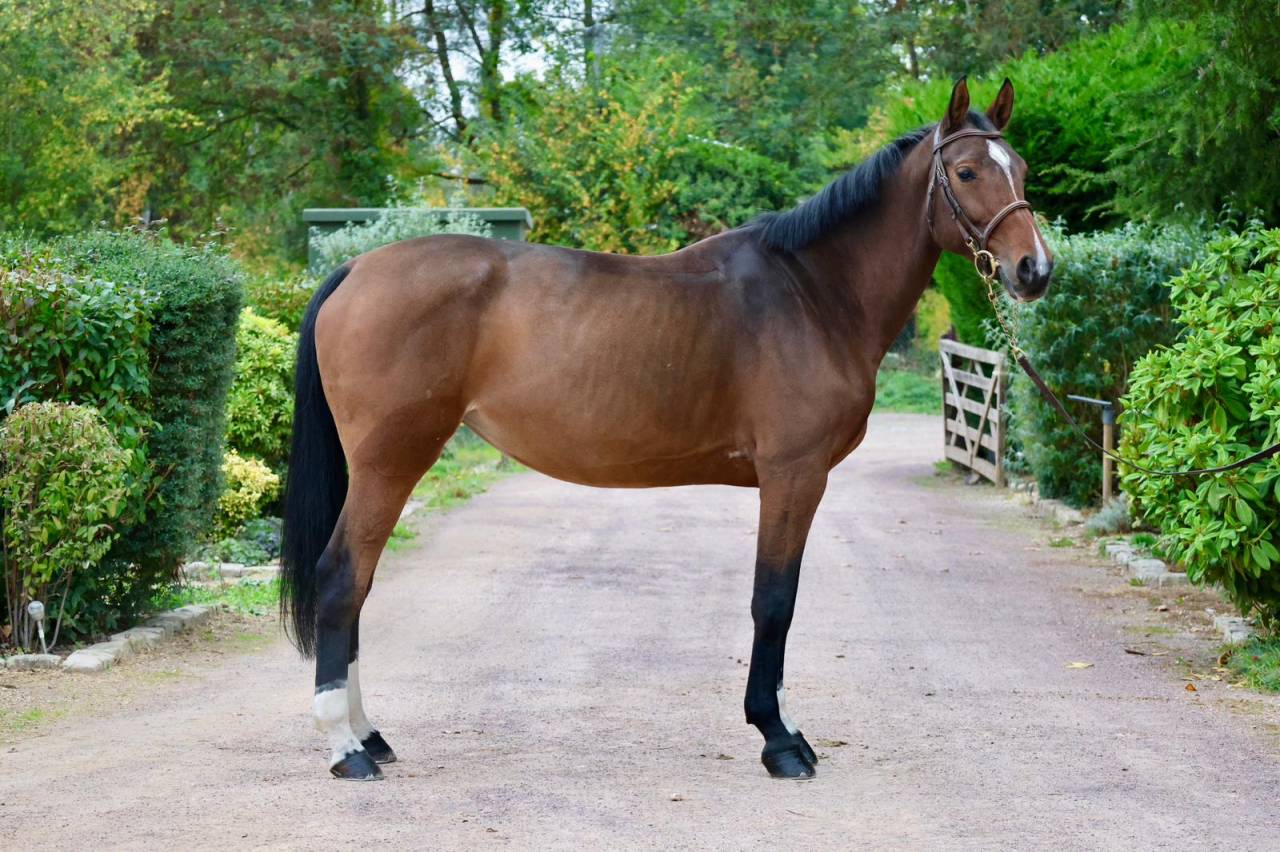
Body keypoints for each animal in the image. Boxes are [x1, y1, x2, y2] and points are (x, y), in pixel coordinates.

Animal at [280, 77, 1053, 781]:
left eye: (1020, 169)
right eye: (966, 171)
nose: (1035, 270)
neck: (811, 292)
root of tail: (355, 268)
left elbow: (780, 599)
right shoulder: (793, 475)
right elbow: (774, 601)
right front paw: (779, 741)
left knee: (356, 586)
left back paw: (369, 734)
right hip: (391, 460)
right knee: (343, 579)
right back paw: (347, 749)